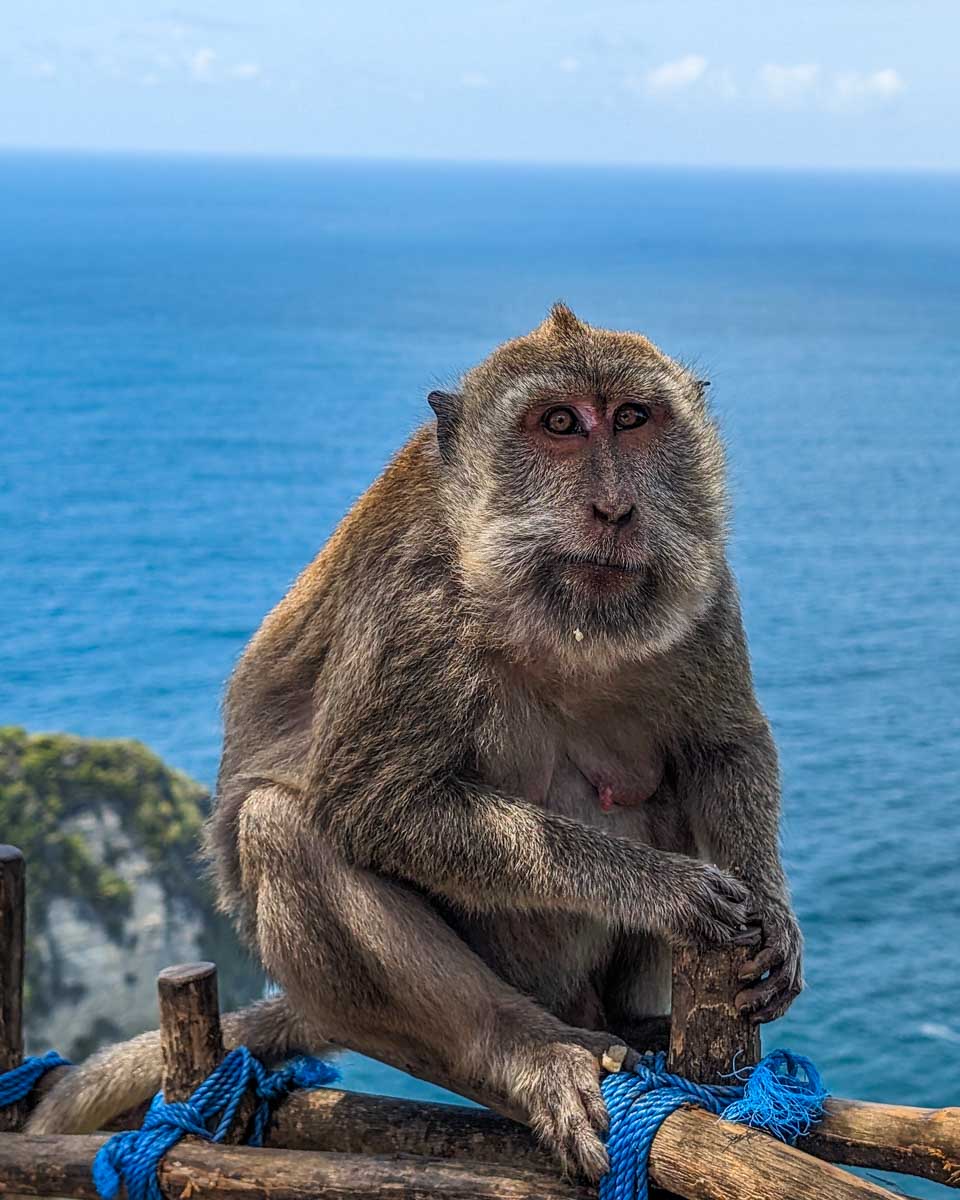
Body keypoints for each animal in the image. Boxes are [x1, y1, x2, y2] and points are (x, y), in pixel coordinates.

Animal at [28, 304, 803, 1180]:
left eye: (634, 419)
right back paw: (526, 1050)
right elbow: (375, 806)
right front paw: (663, 887)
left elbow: (724, 746)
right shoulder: (413, 606)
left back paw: (636, 1028)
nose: (614, 510)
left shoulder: (705, 579)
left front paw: (773, 915)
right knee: (282, 826)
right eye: (560, 425)